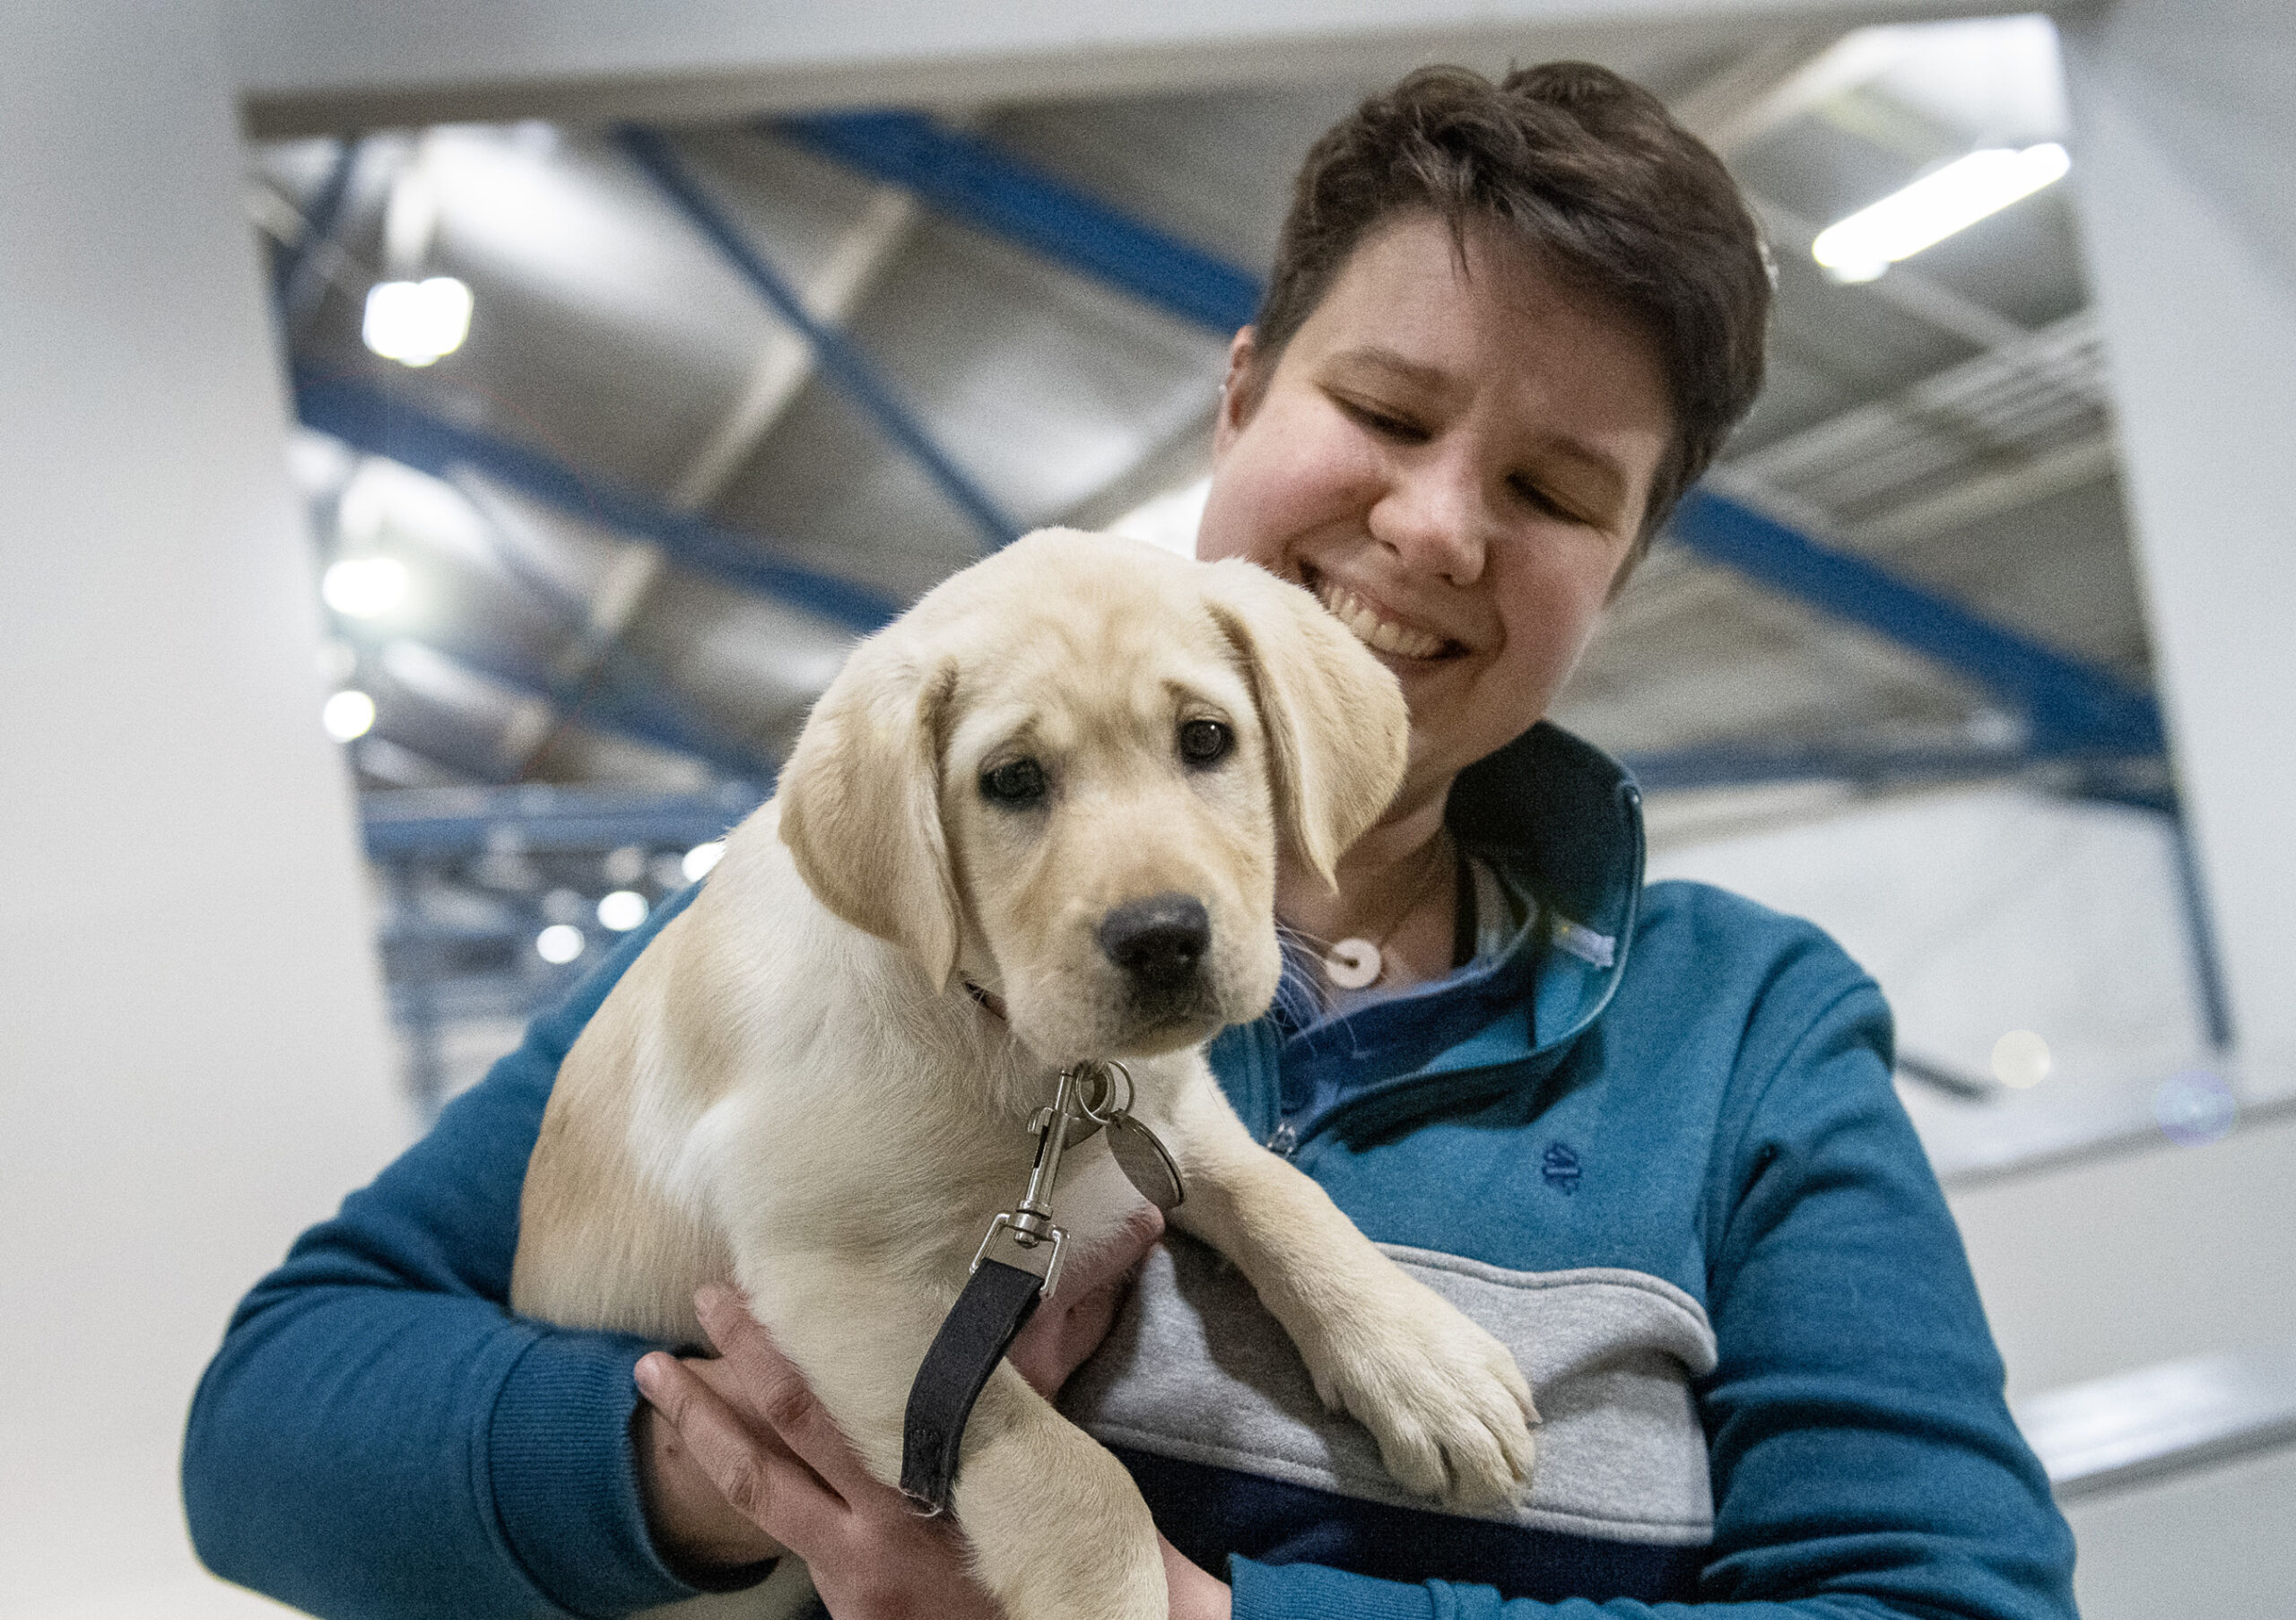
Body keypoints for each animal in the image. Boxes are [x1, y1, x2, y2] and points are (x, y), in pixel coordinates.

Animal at [511, 530, 1534, 1617]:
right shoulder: (842, 1282)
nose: (1163, 939)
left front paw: (1426, 1365)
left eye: (1207, 739)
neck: (1031, 1056)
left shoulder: (1170, 1113)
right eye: (1010, 781)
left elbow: (1279, 1194)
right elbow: (1066, 1468)